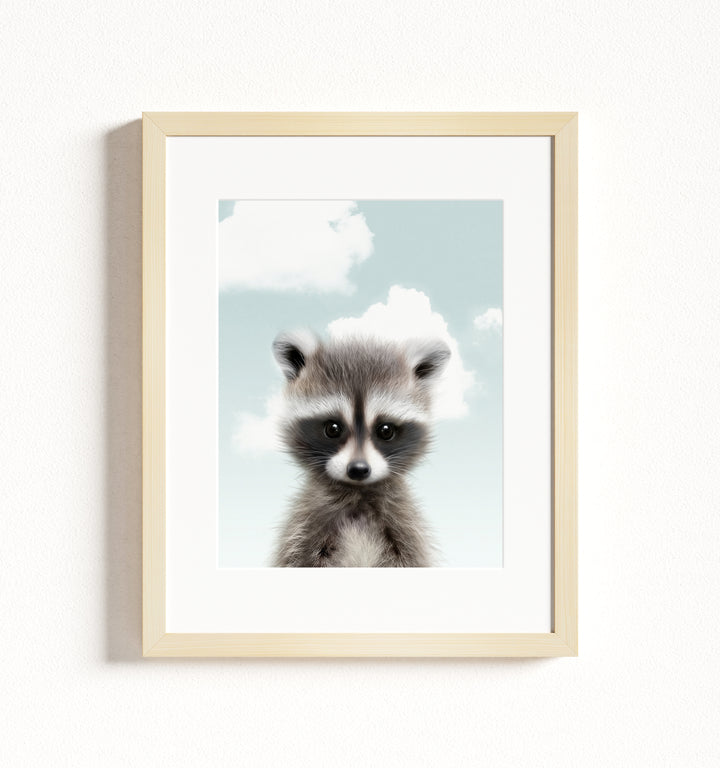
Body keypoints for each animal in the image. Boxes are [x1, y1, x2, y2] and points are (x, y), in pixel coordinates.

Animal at [271, 330, 450, 567]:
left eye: (385, 430)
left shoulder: (404, 526)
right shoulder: (305, 525)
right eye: (333, 428)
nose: (358, 469)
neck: (358, 496)